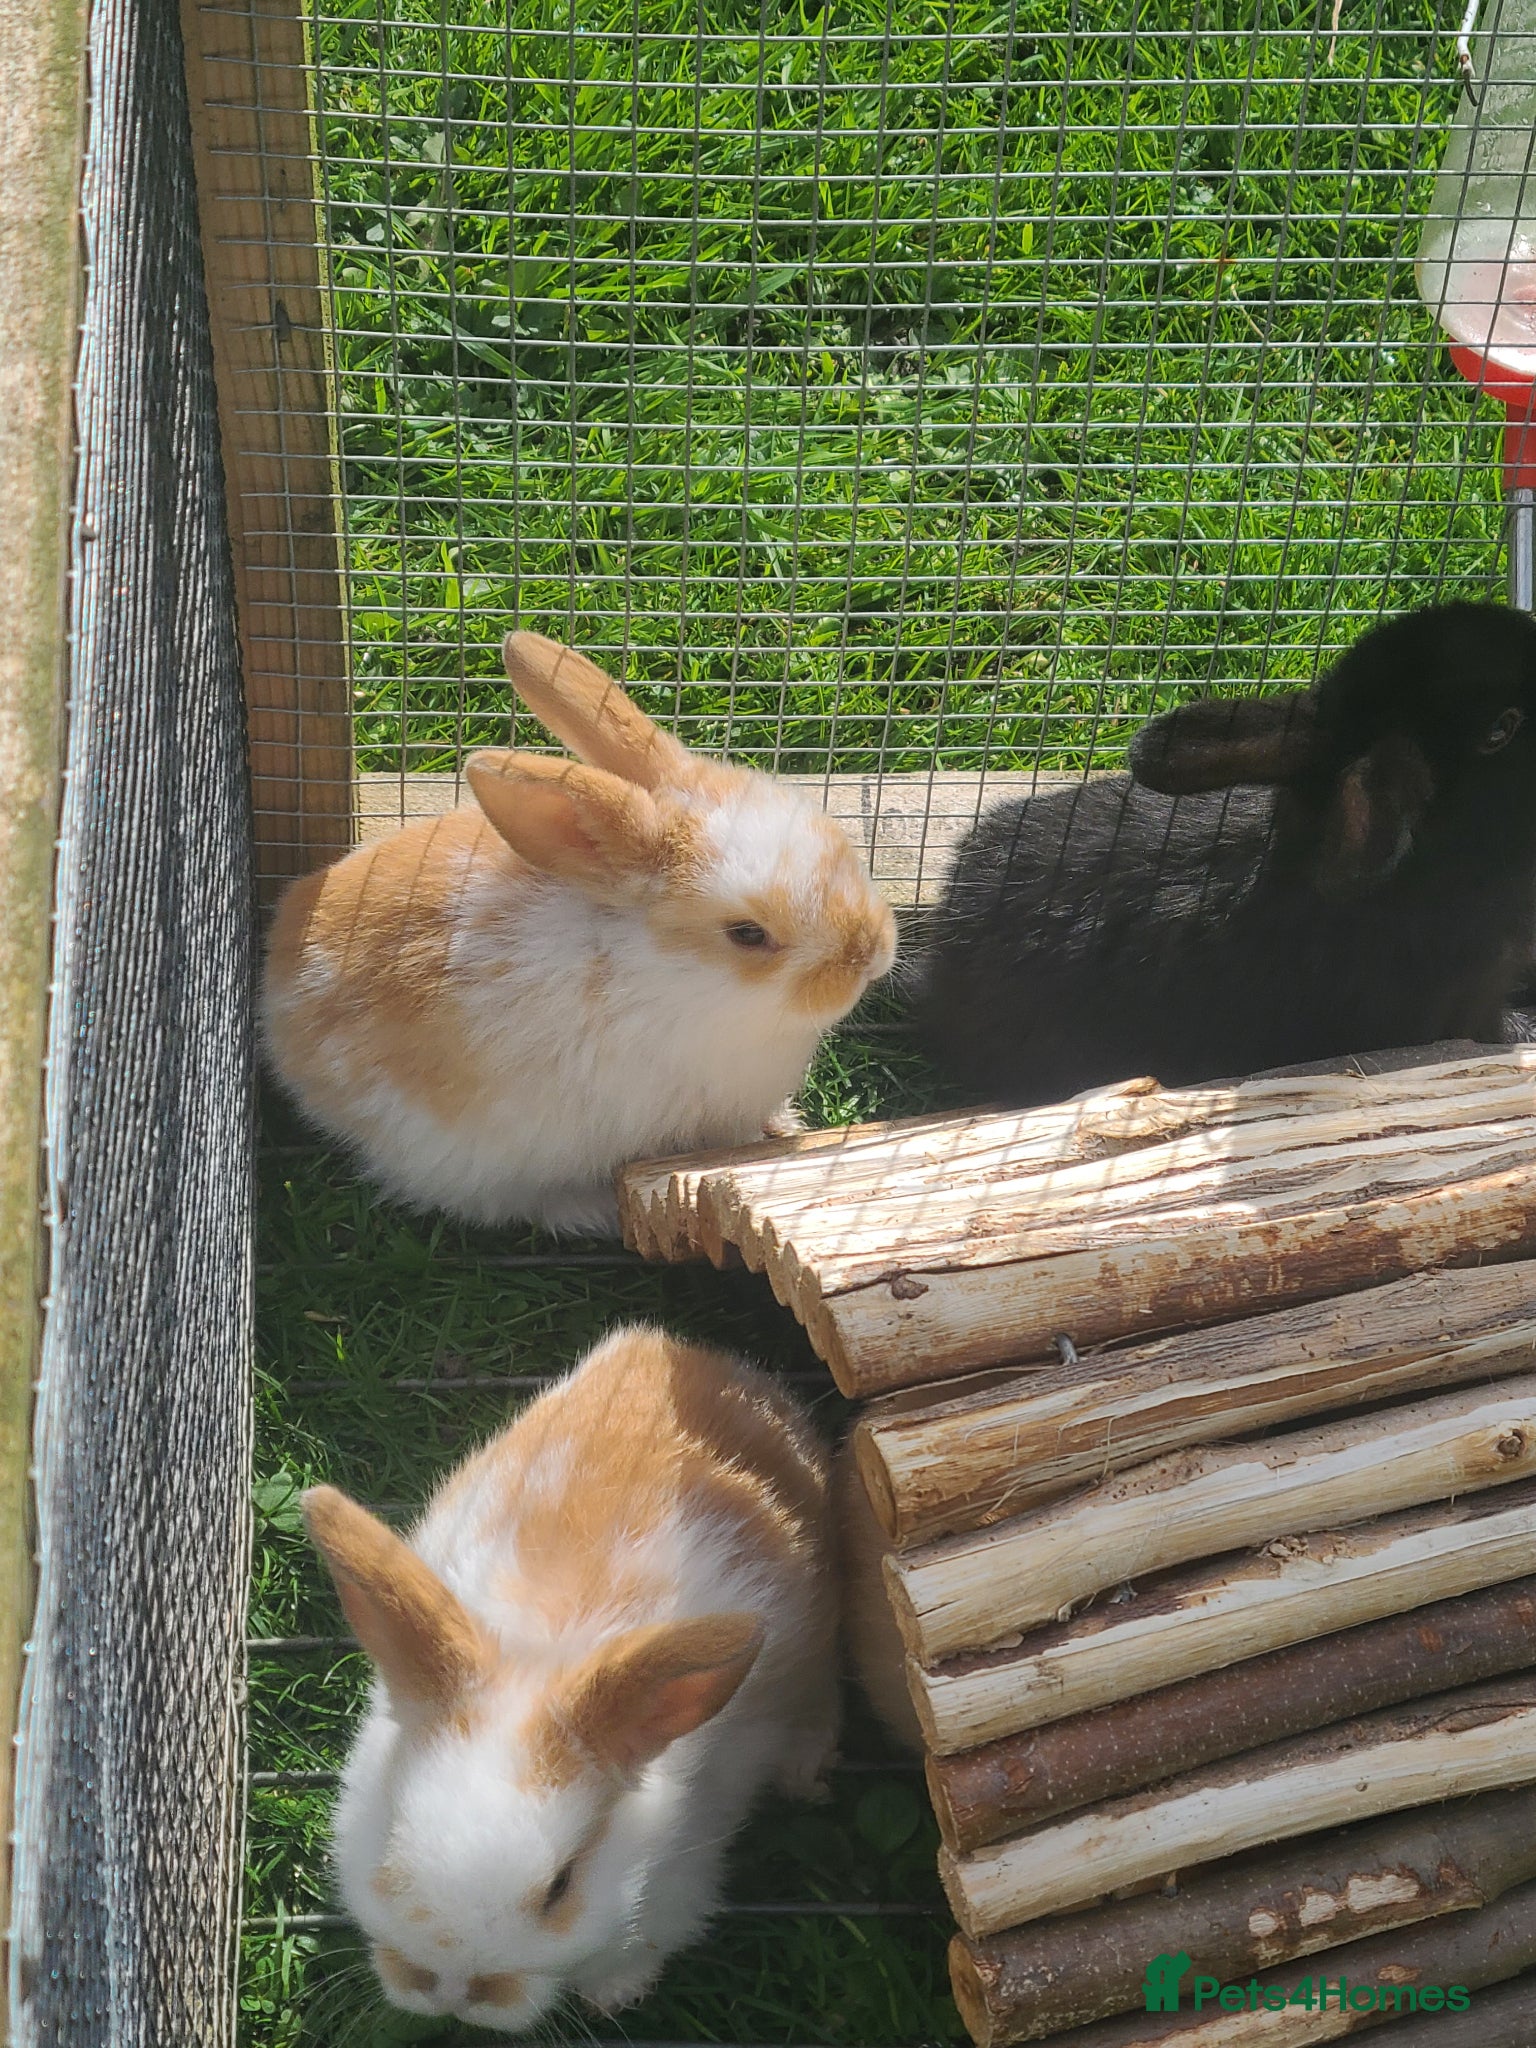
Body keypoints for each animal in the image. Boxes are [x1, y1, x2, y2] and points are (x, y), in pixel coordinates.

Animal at [262, 632, 896, 1235]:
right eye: (748, 934)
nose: (871, 955)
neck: (656, 970)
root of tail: (279, 1003)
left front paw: (784, 1123)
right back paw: (593, 1211)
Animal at [302, 1323, 840, 2035]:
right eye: (388, 1837)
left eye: (561, 1888)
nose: (452, 1990)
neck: (544, 1654)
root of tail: (692, 1353)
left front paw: (615, 1993)